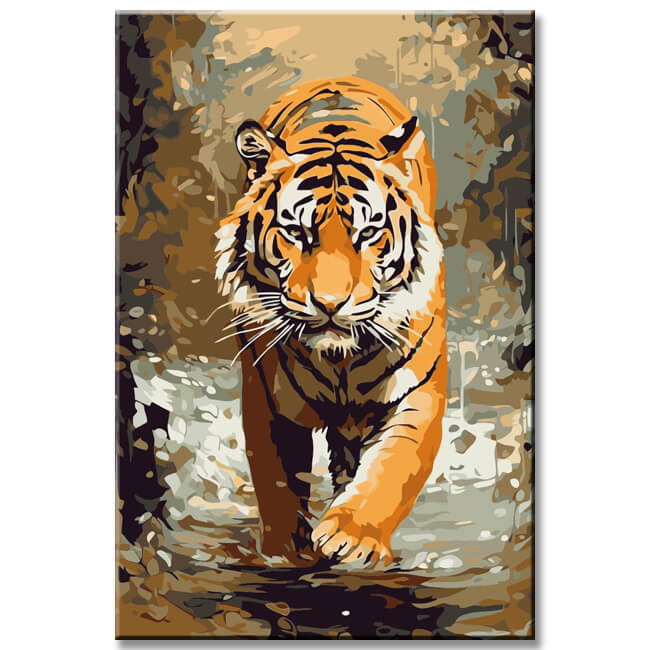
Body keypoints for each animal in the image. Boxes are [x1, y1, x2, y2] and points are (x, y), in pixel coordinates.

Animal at [214, 77, 447, 568]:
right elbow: (277, 482)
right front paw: (286, 553)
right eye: (297, 233)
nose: (330, 303)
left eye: (368, 233)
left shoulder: (418, 391)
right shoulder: (268, 400)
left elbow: (392, 470)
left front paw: (351, 538)